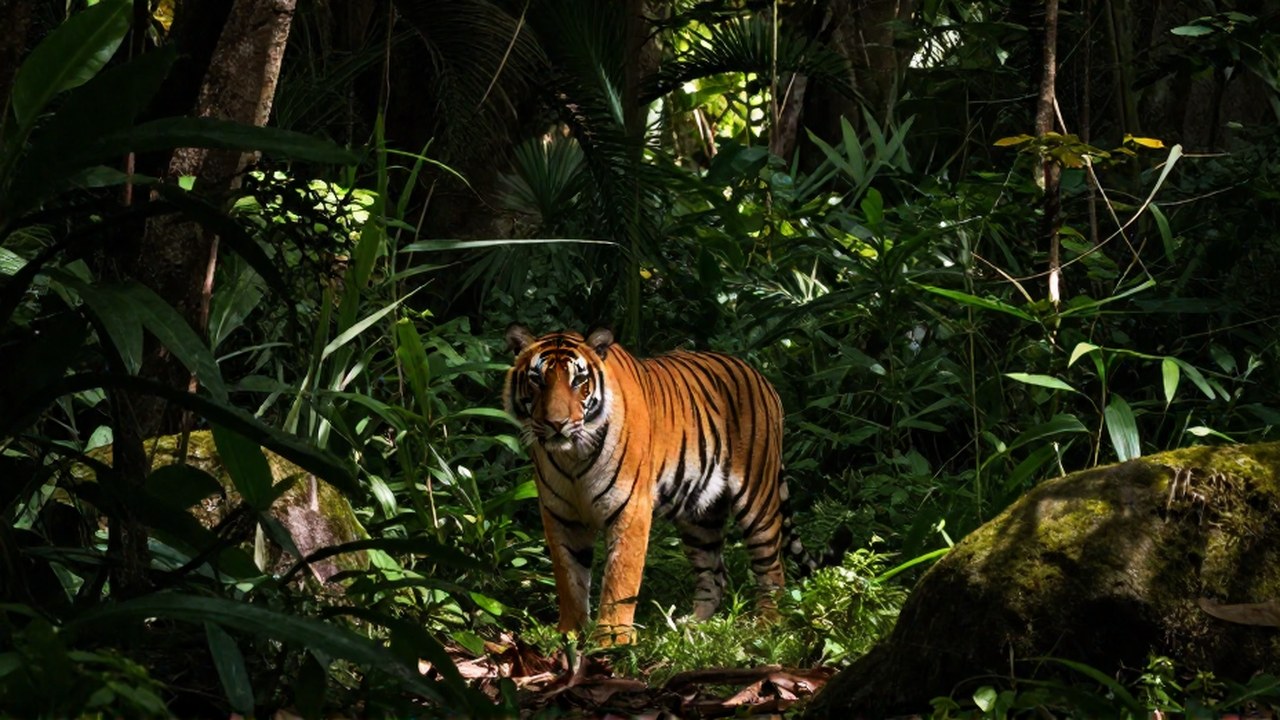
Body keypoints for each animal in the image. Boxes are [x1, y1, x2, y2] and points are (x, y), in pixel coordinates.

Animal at [503, 325, 809, 645]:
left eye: (579, 380)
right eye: (537, 380)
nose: (557, 424)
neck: (573, 455)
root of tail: (760, 375)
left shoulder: (630, 508)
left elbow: (621, 576)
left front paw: (611, 638)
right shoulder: (561, 515)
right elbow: (568, 576)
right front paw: (569, 634)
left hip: (757, 498)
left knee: (772, 567)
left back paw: (767, 624)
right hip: (700, 516)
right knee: (715, 574)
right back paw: (693, 627)